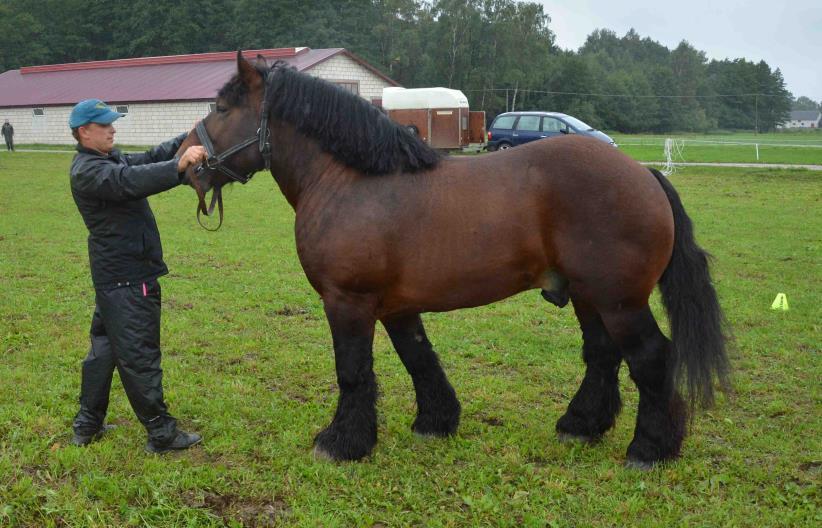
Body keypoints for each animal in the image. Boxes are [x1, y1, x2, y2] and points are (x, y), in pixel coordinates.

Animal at [177, 51, 732, 468]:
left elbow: (353, 371)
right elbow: (420, 358)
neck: (351, 181)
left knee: (651, 359)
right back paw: (579, 426)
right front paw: (436, 422)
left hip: (619, 301)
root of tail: (644, 174)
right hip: (589, 297)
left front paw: (342, 443)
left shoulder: (348, 302)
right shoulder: (396, 306)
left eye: (222, 107)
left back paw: (649, 449)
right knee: (601, 356)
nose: (185, 160)